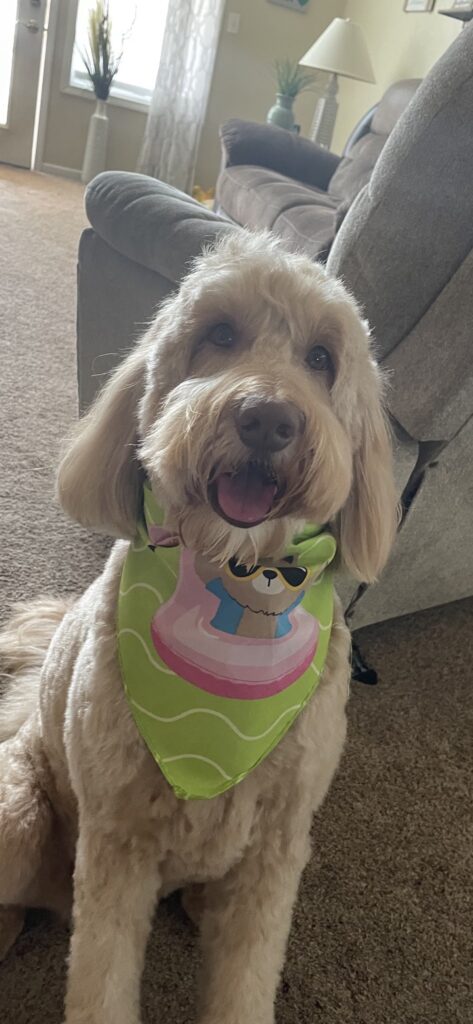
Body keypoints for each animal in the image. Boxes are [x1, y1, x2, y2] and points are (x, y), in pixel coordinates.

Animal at [0, 231, 397, 1023]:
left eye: (320, 357)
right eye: (219, 335)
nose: (267, 419)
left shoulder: (273, 856)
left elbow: (244, 983)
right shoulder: (116, 844)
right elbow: (101, 983)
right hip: (19, 818)